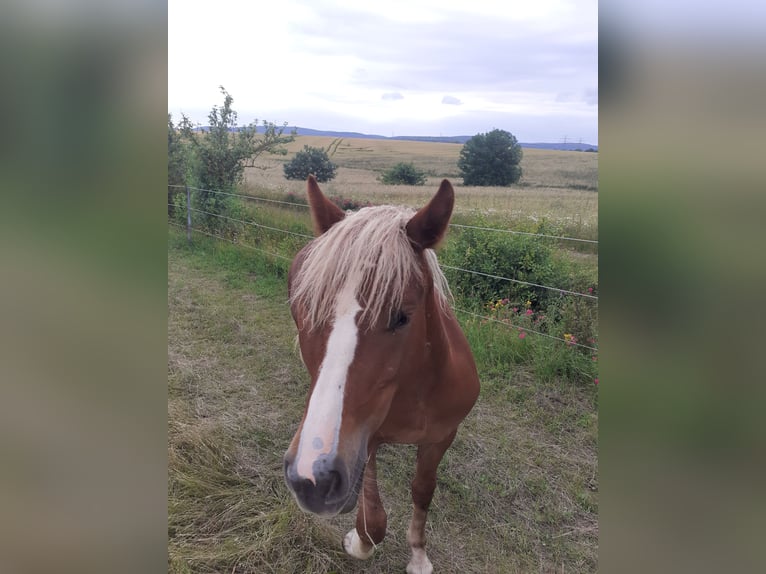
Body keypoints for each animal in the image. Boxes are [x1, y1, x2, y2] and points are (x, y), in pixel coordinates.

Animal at [284, 177, 480, 574]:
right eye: (305, 307)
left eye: (402, 316)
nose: (311, 478)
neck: (417, 392)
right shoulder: (364, 440)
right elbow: (373, 520)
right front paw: (358, 542)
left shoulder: (442, 437)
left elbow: (423, 490)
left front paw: (418, 555)